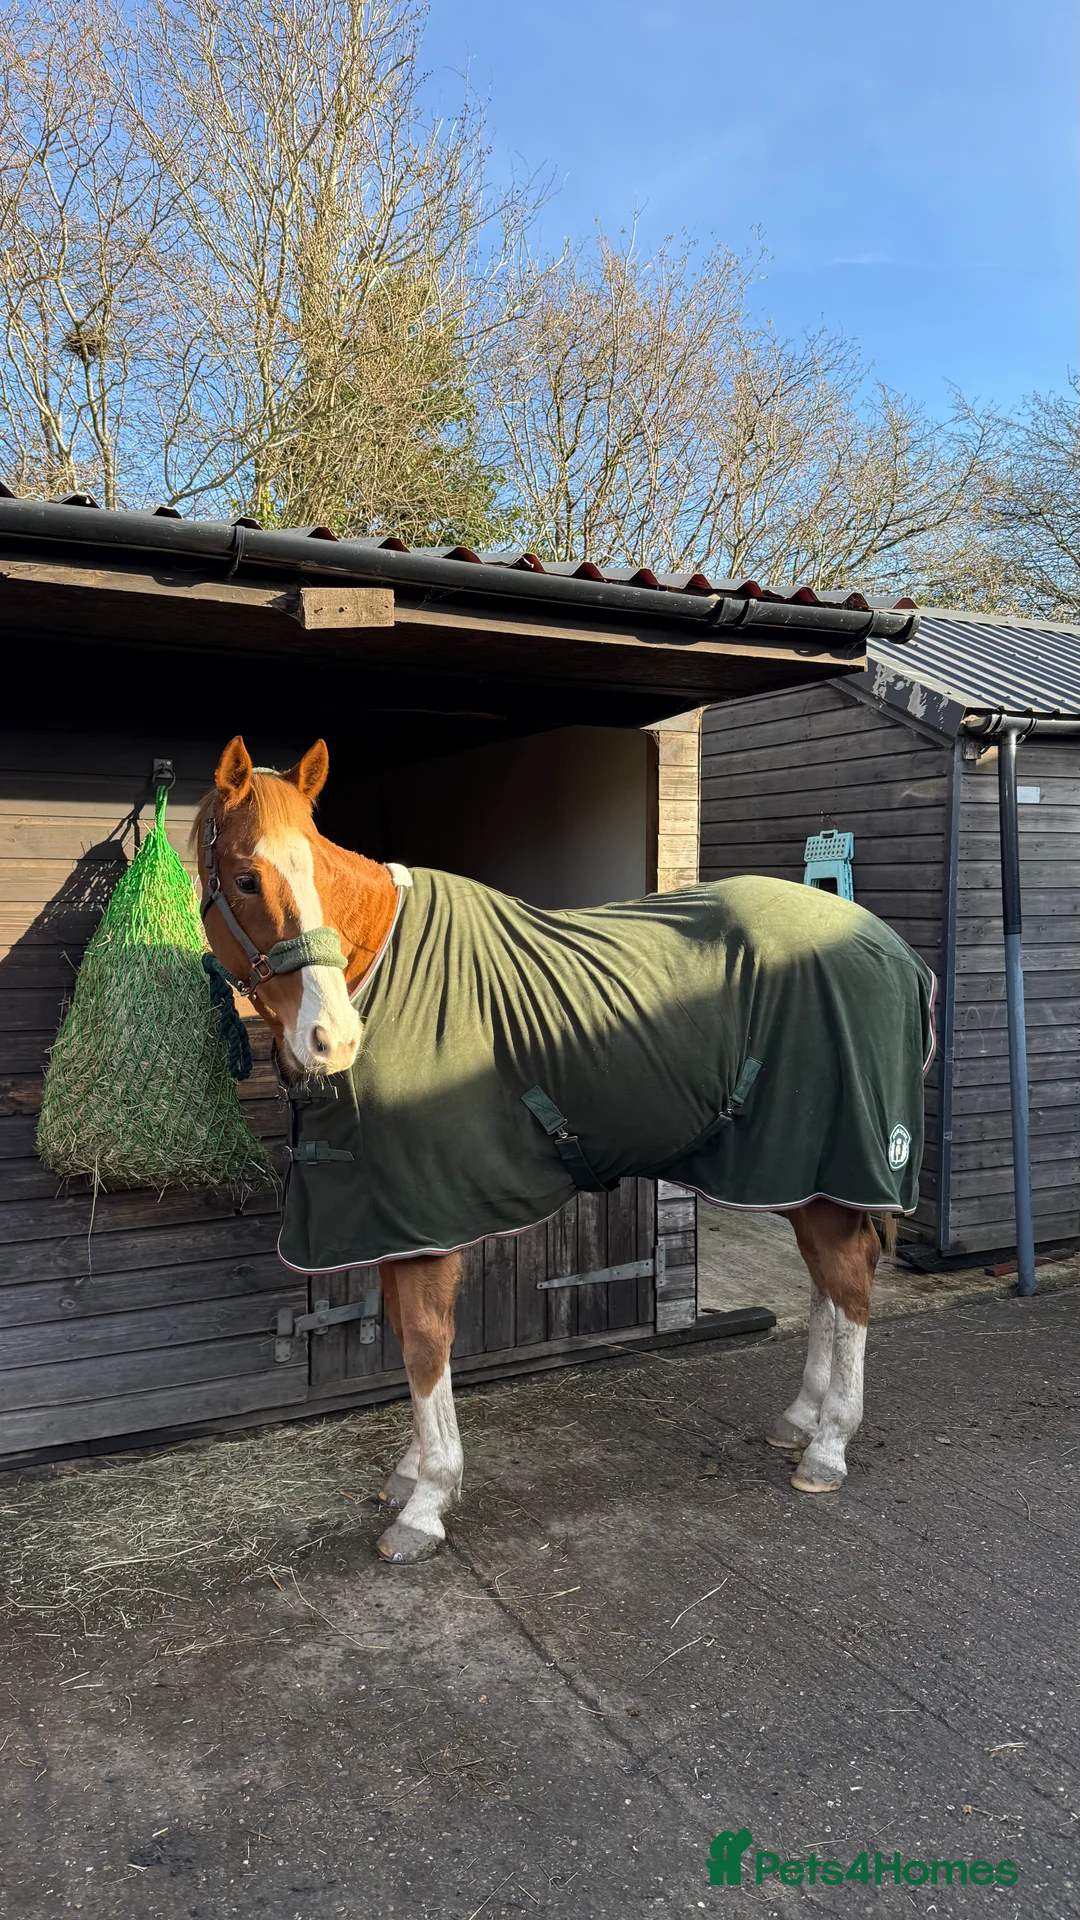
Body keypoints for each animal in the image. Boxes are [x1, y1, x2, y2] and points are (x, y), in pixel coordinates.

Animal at [195, 735, 924, 1566]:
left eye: (317, 867)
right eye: (247, 878)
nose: (333, 1040)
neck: (386, 971)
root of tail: (890, 947)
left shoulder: (427, 1222)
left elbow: (425, 1344)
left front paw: (427, 1502)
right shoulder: (393, 1219)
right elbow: (408, 1341)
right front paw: (411, 1475)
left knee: (851, 1282)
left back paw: (828, 1446)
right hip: (798, 1169)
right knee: (830, 1283)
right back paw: (801, 1420)